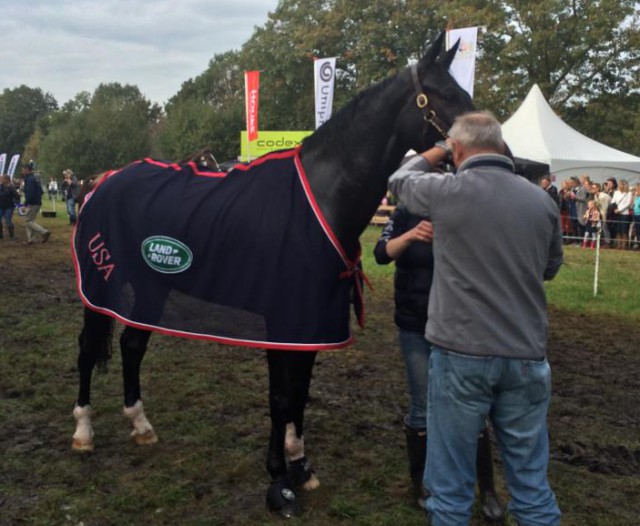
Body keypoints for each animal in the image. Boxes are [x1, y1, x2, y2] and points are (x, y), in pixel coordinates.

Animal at [71, 33, 476, 520]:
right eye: (446, 95)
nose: (503, 152)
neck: (320, 195)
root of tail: (102, 181)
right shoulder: (284, 318)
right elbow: (281, 396)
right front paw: (278, 482)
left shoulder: (312, 320)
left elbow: (300, 391)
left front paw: (300, 466)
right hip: (101, 284)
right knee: (89, 350)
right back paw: (83, 432)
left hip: (152, 284)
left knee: (132, 346)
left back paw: (140, 423)